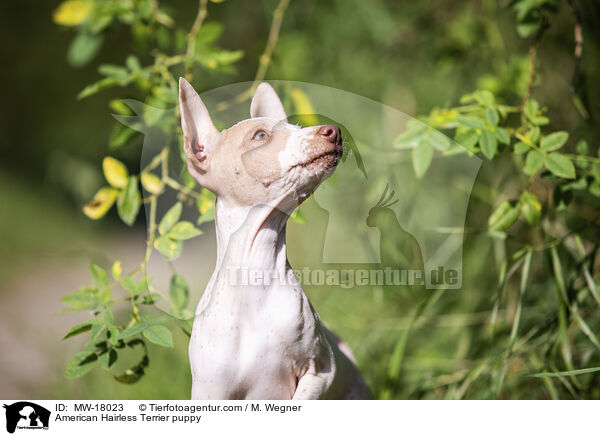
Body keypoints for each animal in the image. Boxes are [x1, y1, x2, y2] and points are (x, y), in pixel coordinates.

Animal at [178, 78, 370, 398]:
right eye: (260, 136)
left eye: (295, 126)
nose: (334, 130)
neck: (254, 278)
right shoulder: (210, 391)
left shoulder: (321, 371)